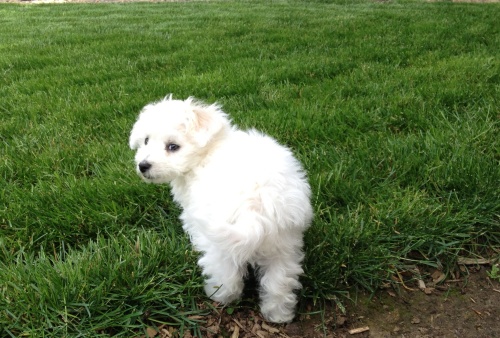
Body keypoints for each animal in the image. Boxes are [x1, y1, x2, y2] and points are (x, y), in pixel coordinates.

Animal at [131, 94, 314, 322]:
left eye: (173, 146)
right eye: (146, 140)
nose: (143, 165)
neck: (207, 153)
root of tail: (257, 211)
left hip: (221, 246)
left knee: (229, 280)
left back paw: (216, 295)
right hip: (284, 246)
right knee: (280, 283)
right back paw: (278, 315)